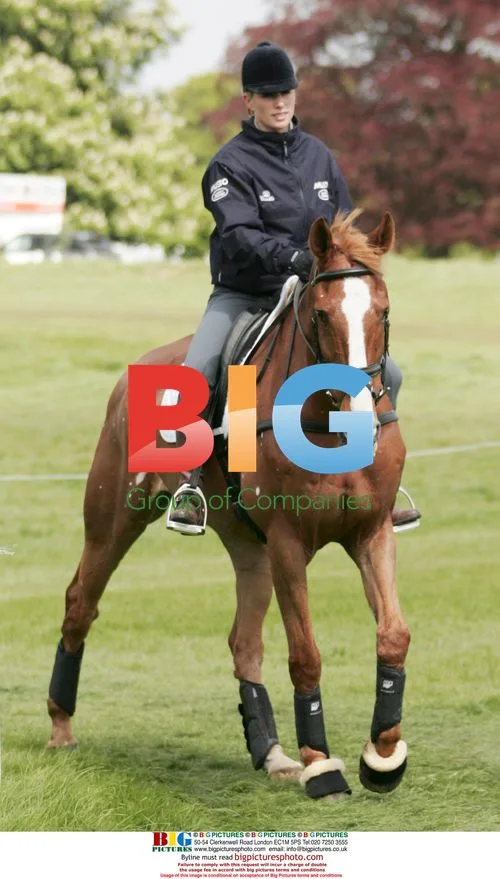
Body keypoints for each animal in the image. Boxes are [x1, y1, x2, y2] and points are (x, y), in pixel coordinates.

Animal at [46, 210, 411, 799]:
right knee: (81, 602)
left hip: (250, 551)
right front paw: (322, 766)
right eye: (323, 314)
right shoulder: (288, 543)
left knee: (244, 642)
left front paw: (382, 756)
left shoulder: (370, 533)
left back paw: (272, 753)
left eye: (382, 311)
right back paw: (60, 726)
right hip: (114, 519)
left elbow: (393, 637)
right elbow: (305, 654)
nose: (360, 412)